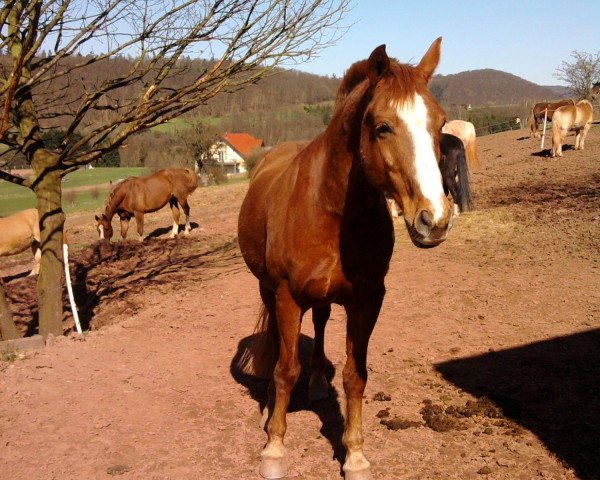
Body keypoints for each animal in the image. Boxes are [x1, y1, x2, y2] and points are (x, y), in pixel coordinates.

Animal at [237, 38, 452, 480]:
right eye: (382, 126)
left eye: (440, 125)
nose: (434, 220)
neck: (329, 207)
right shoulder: (286, 296)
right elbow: (286, 370)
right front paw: (274, 448)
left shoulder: (367, 300)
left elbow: (356, 376)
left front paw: (354, 454)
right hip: (268, 290)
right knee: (280, 349)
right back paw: (269, 408)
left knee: (319, 324)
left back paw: (319, 382)